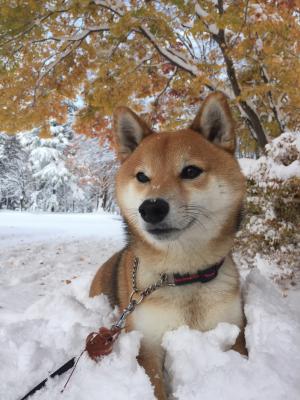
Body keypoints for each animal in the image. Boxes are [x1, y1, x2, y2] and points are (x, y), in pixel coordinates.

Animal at [90, 92, 247, 398]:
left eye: (191, 171)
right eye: (142, 177)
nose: (151, 208)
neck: (184, 275)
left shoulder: (234, 331)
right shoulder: (147, 345)